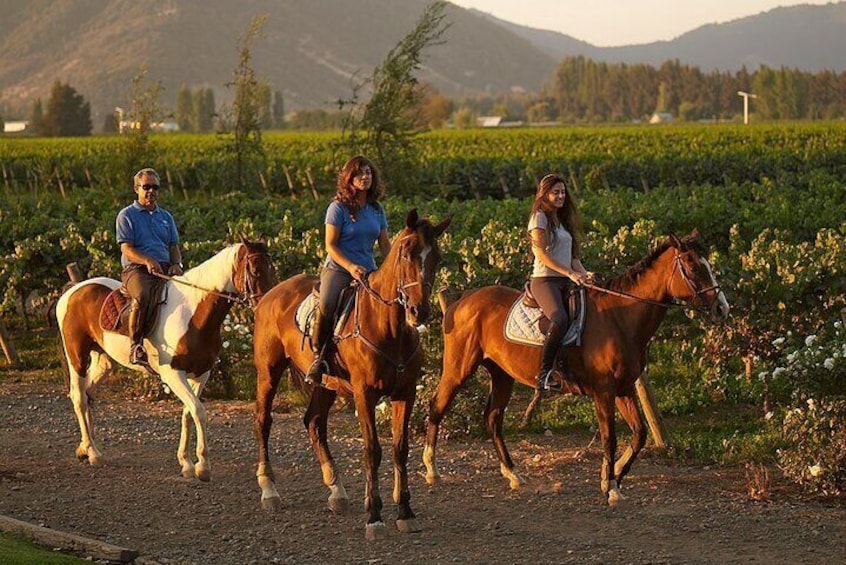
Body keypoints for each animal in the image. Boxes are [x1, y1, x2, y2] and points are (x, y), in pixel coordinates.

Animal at [56, 238, 274, 480]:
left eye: (272, 268)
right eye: (254, 270)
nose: (267, 305)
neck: (192, 314)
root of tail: (73, 290)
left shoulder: (201, 374)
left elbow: (188, 413)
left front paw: (187, 463)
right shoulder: (173, 374)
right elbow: (198, 411)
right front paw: (203, 466)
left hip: (103, 360)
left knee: (88, 395)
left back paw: (85, 448)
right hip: (77, 356)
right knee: (79, 397)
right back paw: (93, 453)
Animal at [252, 208, 450, 536]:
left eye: (436, 256)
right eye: (406, 254)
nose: (418, 311)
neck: (389, 328)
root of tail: (271, 294)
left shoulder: (404, 392)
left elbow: (400, 449)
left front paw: (405, 512)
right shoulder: (364, 392)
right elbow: (372, 450)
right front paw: (374, 516)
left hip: (325, 384)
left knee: (314, 422)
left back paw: (337, 491)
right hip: (268, 372)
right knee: (263, 421)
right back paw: (269, 491)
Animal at [428, 231, 732, 504]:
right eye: (693, 267)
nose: (722, 309)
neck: (620, 318)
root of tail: (461, 301)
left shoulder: (623, 389)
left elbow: (639, 434)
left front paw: (612, 476)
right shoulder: (604, 391)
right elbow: (610, 438)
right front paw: (612, 487)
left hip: (502, 374)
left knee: (492, 418)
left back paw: (513, 475)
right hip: (459, 368)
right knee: (437, 406)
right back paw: (431, 470)